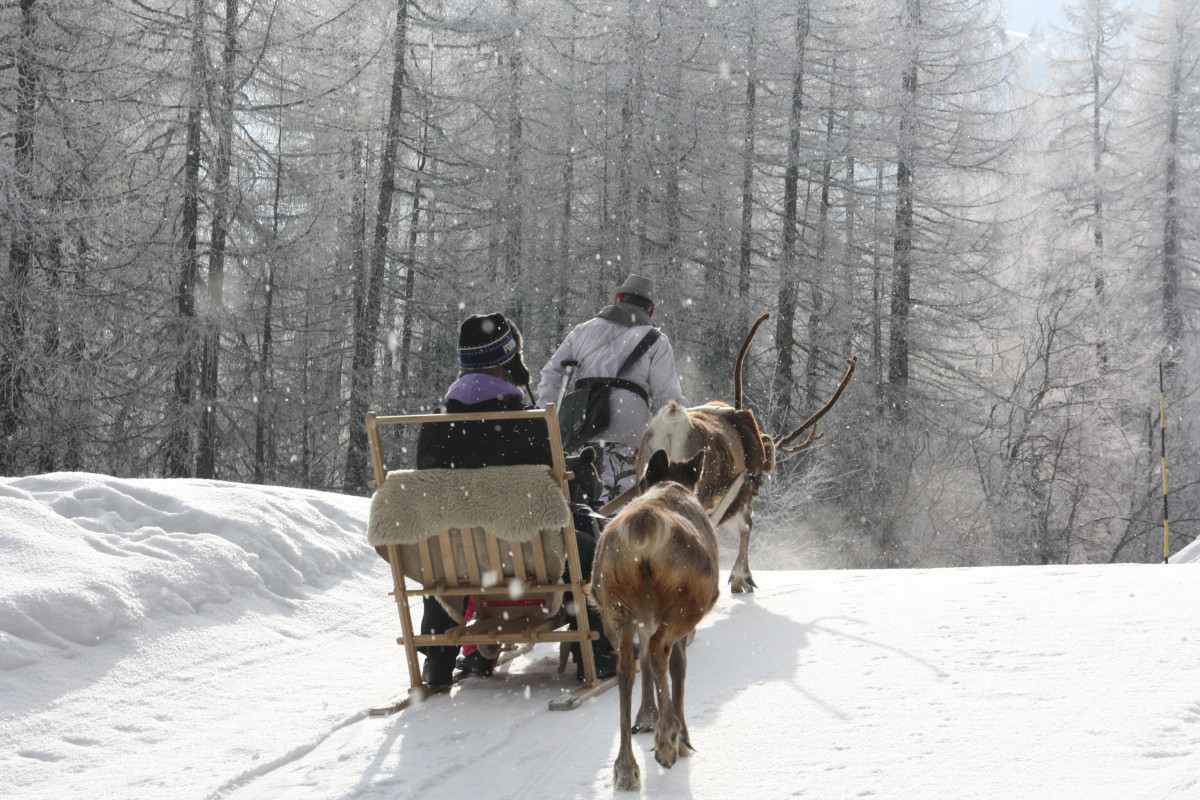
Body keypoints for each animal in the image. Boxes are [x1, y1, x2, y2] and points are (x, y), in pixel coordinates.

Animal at [588, 449, 720, 792]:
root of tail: (643, 525)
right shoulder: (675, 624)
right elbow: (679, 669)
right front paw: (681, 737)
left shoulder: (643, 621)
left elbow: (645, 663)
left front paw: (646, 716)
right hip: (686, 605)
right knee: (661, 651)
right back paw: (668, 739)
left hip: (614, 606)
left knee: (626, 668)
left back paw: (625, 768)